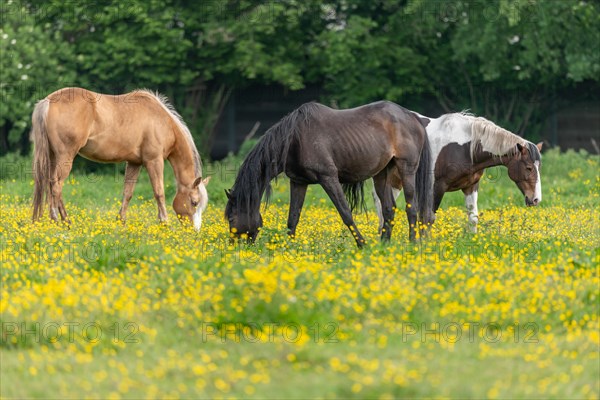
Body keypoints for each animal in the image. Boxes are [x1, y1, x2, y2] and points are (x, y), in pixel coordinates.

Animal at [223, 100, 434, 247]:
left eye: (231, 219)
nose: (234, 248)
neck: (295, 140)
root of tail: (412, 116)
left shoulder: (328, 178)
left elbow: (345, 213)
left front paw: (362, 244)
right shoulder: (298, 182)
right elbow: (293, 218)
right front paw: (288, 249)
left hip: (406, 169)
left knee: (412, 207)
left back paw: (412, 243)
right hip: (381, 174)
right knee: (389, 209)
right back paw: (384, 245)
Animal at [372, 111, 540, 233]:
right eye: (529, 168)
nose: (536, 199)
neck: (464, 147)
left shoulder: (471, 186)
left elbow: (473, 217)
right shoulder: (436, 187)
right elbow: (428, 218)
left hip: (397, 182)